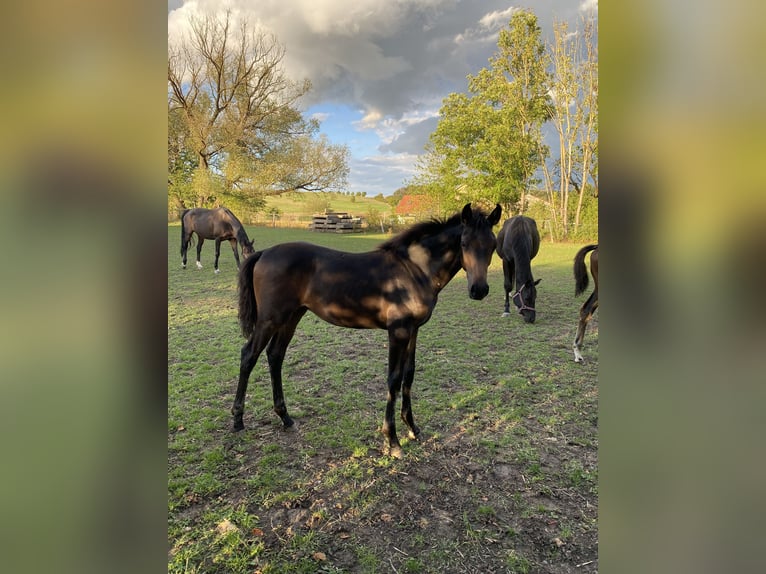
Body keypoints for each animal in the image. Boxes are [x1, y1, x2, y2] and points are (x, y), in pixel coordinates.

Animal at [232, 203, 502, 458]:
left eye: (493, 244)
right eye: (464, 243)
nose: (479, 290)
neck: (414, 271)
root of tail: (264, 253)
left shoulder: (414, 330)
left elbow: (409, 374)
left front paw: (413, 428)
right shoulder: (398, 331)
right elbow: (394, 379)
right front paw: (392, 441)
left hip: (292, 317)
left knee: (275, 355)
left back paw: (285, 417)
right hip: (270, 319)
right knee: (249, 355)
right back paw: (237, 420)